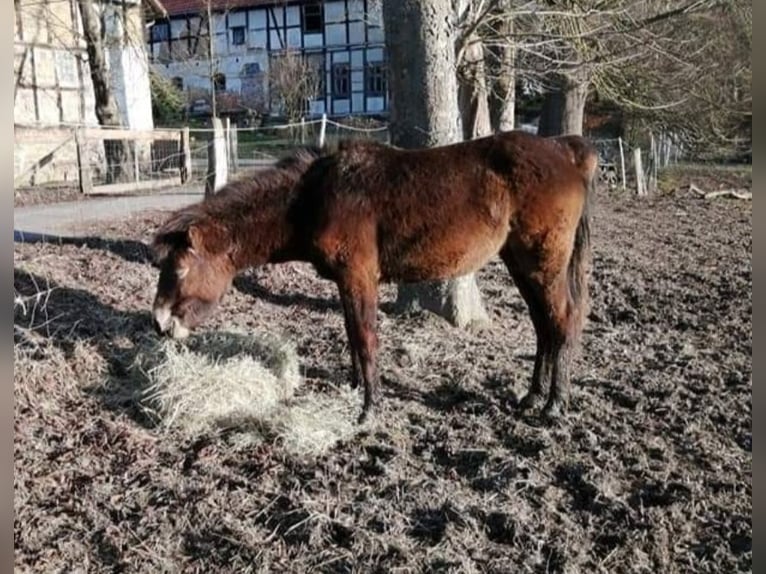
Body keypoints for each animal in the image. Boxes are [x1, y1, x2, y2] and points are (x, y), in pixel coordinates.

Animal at [153, 133, 596, 426]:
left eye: (179, 269)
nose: (159, 323)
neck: (316, 195)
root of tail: (566, 150)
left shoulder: (359, 277)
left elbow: (365, 339)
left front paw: (370, 410)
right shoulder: (345, 282)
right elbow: (352, 336)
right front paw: (356, 391)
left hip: (542, 264)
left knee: (564, 320)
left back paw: (554, 404)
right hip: (522, 264)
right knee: (543, 326)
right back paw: (533, 396)